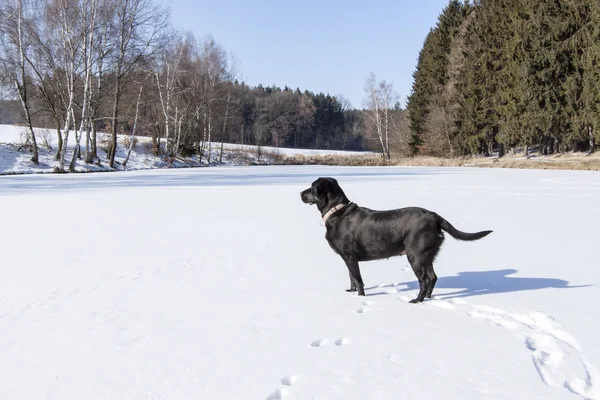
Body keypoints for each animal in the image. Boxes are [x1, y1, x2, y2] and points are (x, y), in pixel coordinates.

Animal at [300, 177, 492, 302]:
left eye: (311, 186)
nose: (300, 193)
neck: (336, 211)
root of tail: (434, 216)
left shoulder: (350, 257)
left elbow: (358, 279)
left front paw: (360, 298)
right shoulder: (348, 258)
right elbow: (351, 277)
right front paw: (350, 291)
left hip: (415, 255)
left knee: (425, 279)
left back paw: (417, 300)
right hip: (427, 255)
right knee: (433, 277)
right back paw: (428, 298)